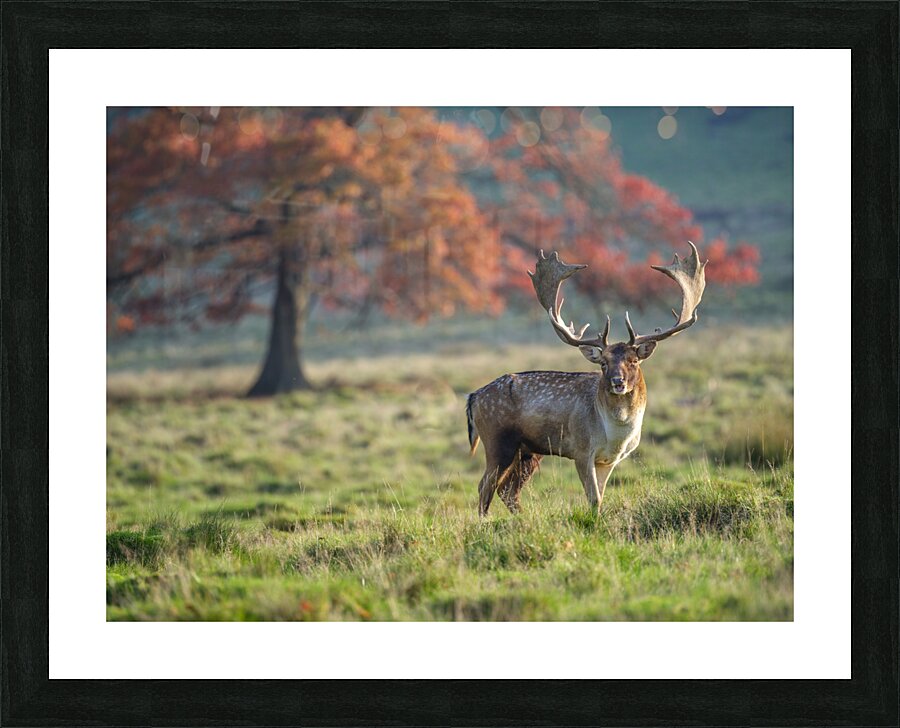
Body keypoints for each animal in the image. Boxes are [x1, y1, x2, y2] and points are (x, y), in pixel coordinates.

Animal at [466, 242, 707, 516]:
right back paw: (485, 521)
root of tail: (473, 397)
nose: (618, 382)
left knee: (507, 490)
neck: (616, 435)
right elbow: (593, 498)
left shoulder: (608, 460)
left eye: (633, 361)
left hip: (527, 451)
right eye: (603, 363)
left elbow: (599, 498)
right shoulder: (581, 450)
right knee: (485, 485)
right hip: (497, 440)